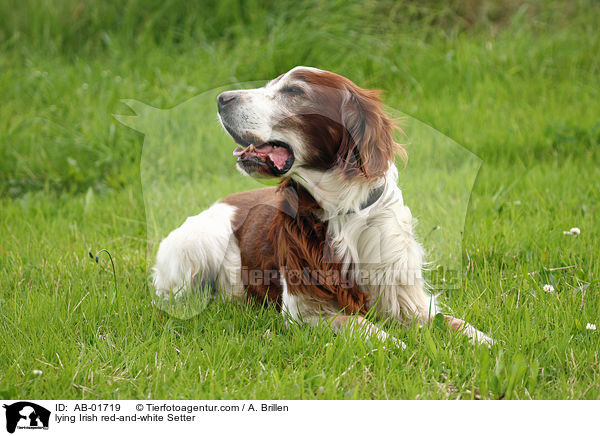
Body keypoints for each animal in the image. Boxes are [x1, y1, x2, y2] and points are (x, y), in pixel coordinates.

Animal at [154, 66, 492, 348]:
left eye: (294, 91)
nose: (221, 98)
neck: (341, 210)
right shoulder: (304, 310)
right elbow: (356, 324)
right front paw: (395, 344)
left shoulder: (405, 297)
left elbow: (451, 322)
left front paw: (486, 342)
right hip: (196, 249)